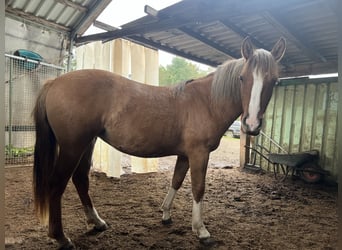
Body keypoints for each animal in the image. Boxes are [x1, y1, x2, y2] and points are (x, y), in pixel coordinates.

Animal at [32, 36, 286, 248]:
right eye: (242, 78)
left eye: (274, 81)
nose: (251, 125)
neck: (206, 102)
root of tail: (54, 83)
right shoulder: (199, 154)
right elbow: (198, 188)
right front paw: (201, 231)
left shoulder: (185, 155)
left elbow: (176, 181)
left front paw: (165, 214)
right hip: (72, 147)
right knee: (57, 184)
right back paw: (61, 237)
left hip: (88, 143)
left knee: (81, 179)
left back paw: (97, 222)